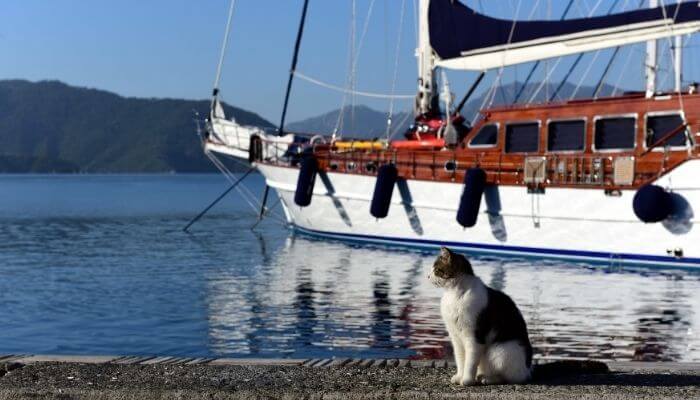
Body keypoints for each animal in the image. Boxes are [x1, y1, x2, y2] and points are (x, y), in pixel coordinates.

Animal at [426, 248, 532, 386]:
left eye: (436, 270)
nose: (427, 276)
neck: (454, 294)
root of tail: (528, 370)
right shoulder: (455, 337)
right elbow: (461, 360)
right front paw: (459, 377)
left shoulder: (474, 337)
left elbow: (470, 362)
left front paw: (467, 380)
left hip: (499, 350)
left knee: (511, 378)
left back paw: (487, 379)